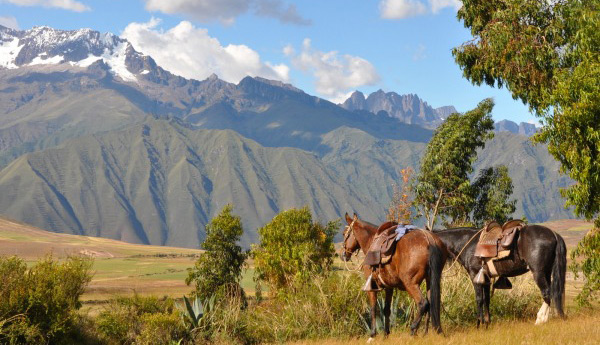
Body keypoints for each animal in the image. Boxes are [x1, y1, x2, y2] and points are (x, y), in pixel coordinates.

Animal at [434, 224, 564, 326]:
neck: (467, 243)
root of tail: (553, 234)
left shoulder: (475, 275)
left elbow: (479, 299)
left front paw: (479, 323)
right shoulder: (486, 279)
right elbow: (486, 300)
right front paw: (487, 323)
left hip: (538, 272)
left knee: (546, 293)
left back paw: (540, 319)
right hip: (547, 272)